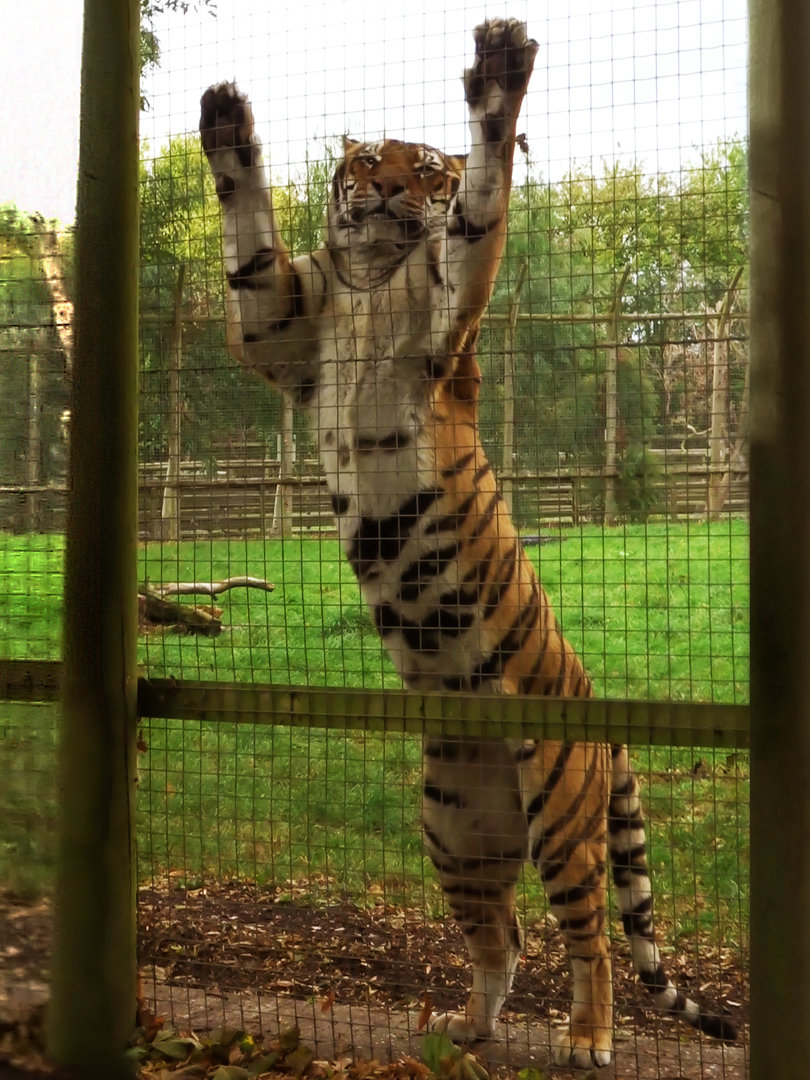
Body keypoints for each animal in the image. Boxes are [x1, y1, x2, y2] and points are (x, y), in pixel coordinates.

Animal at [199, 18, 738, 1067]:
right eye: (368, 160)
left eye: (428, 170)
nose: (386, 190)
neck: (371, 273)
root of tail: (604, 718)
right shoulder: (277, 325)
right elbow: (248, 242)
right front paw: (227, 124)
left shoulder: (450, 304)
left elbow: (485, 208)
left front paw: (498, 76)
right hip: (453, 828)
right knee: (505, 935)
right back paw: (468, 1030)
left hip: (560, 823)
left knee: (589, 939)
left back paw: (586, 1039)